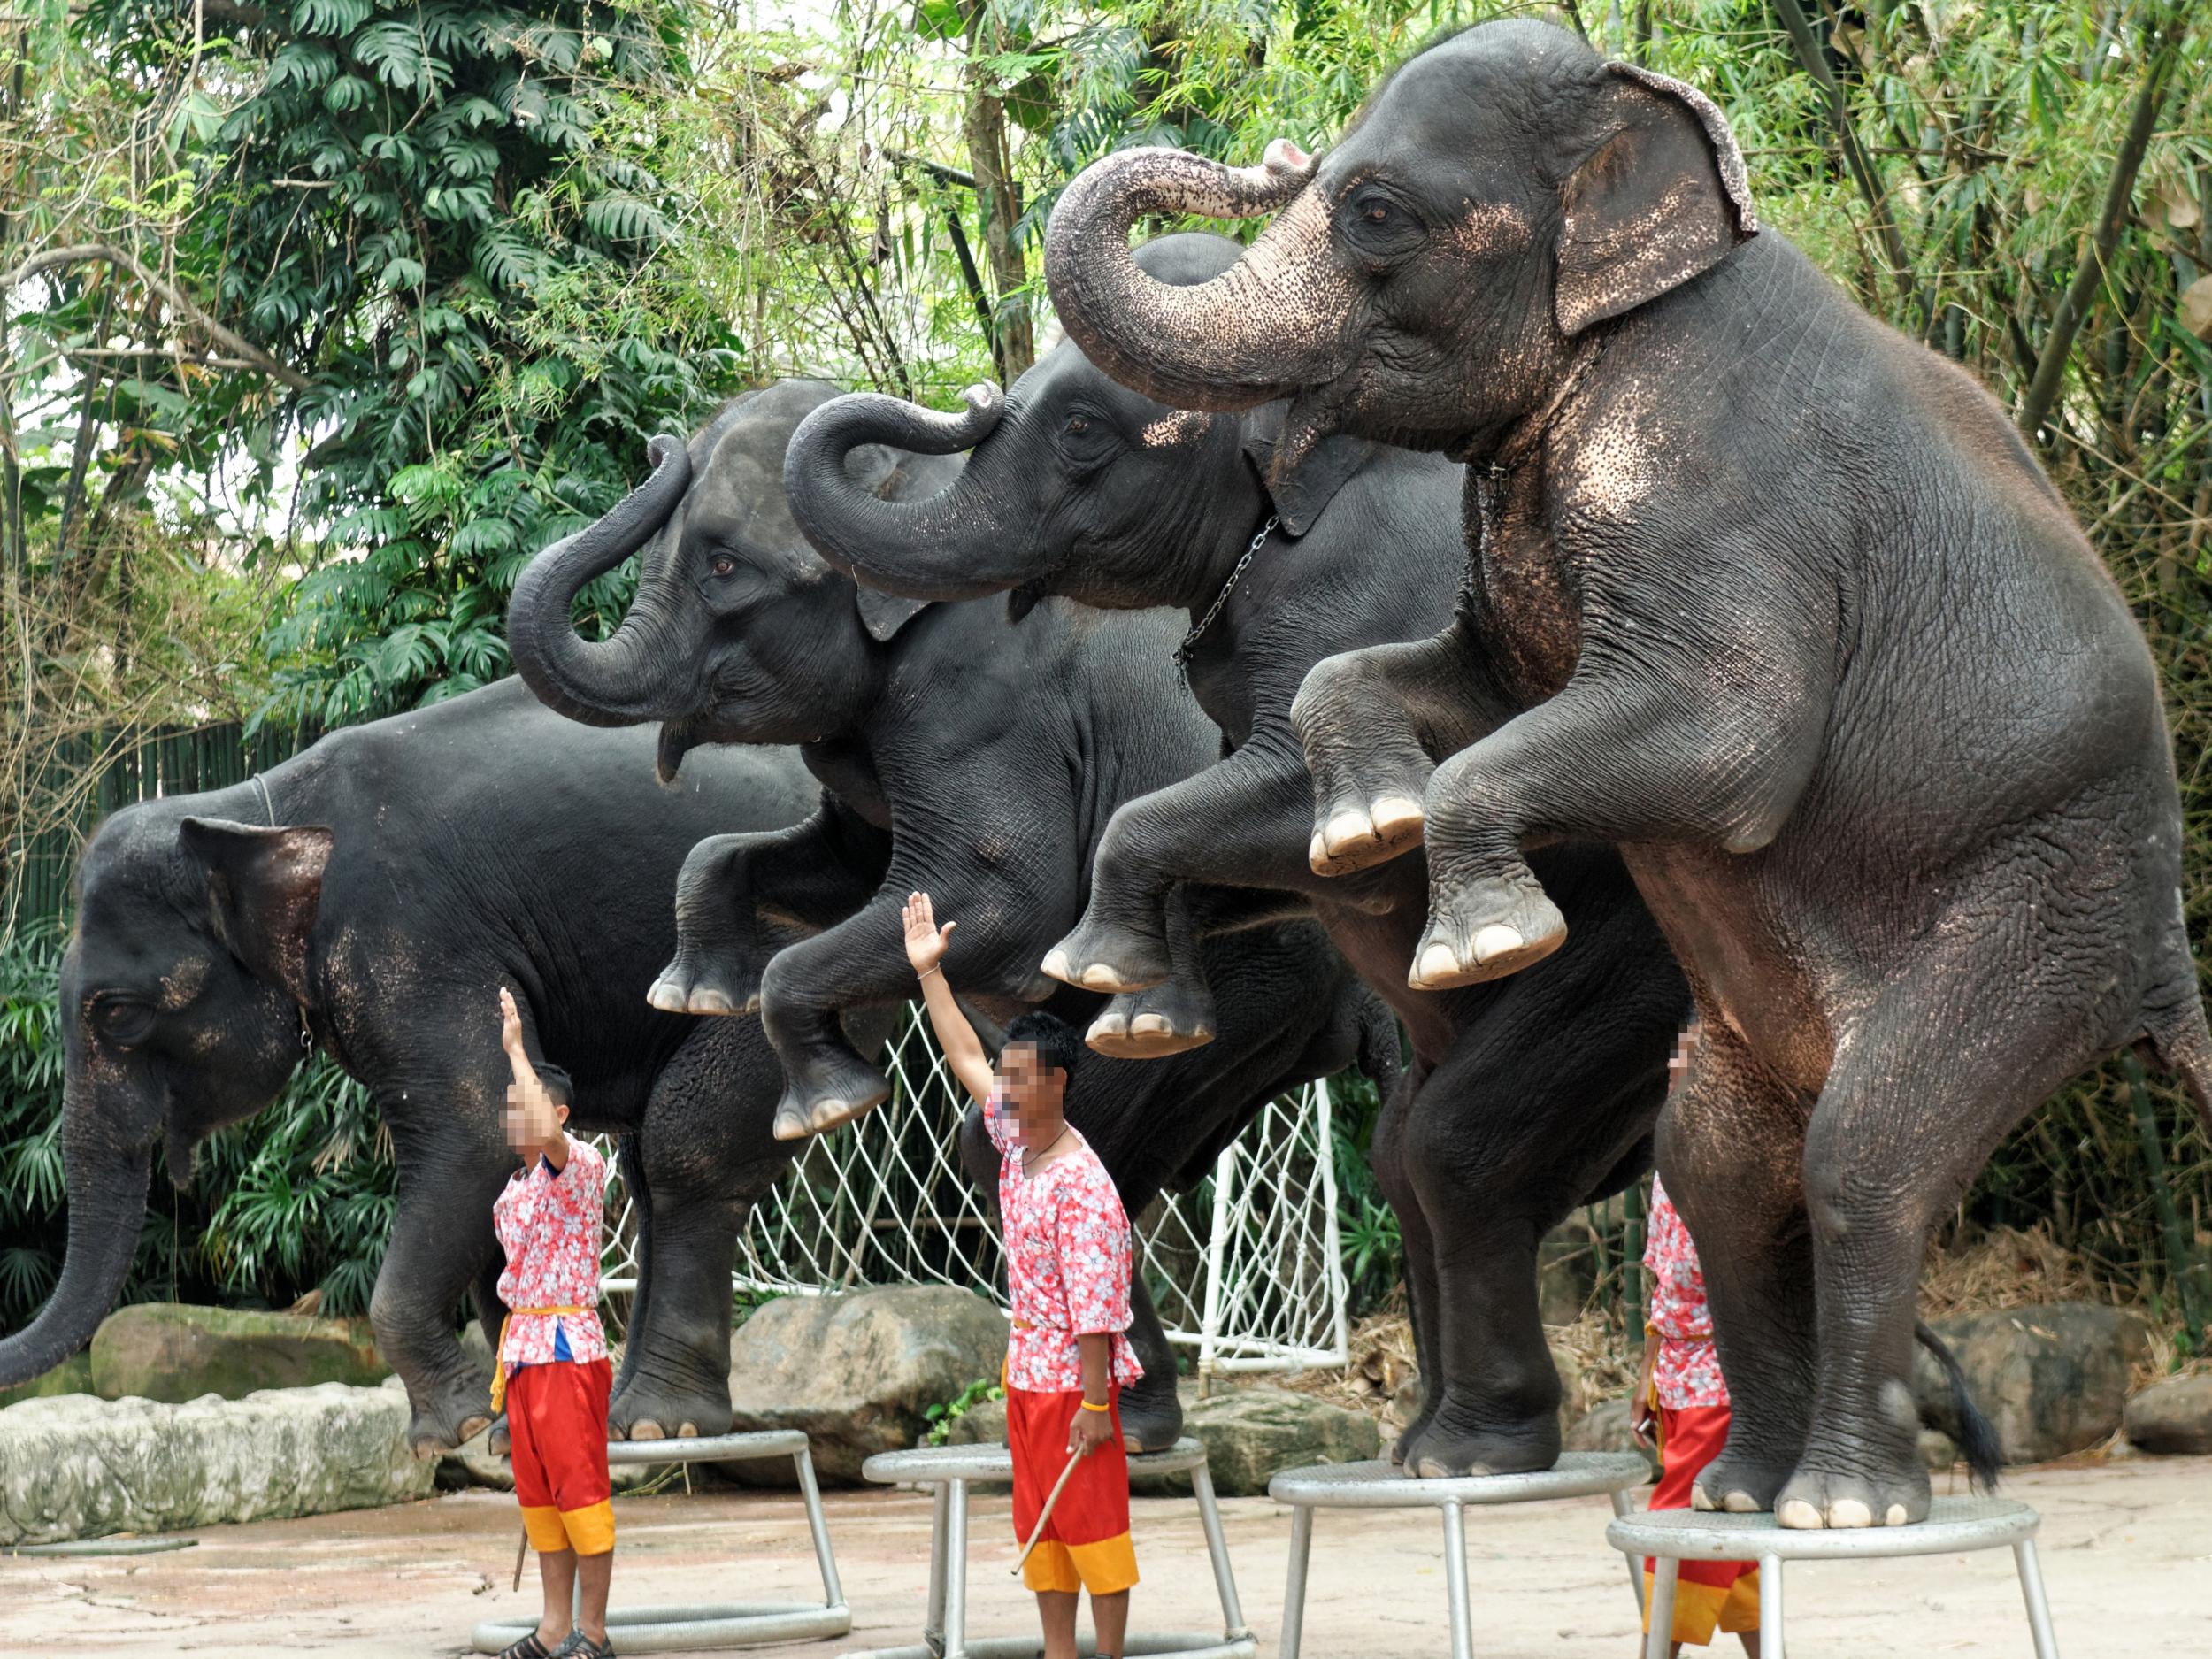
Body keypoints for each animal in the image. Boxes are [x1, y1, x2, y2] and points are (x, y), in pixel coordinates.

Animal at [504, 380, 1398, 1451]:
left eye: (724, 565)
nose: (656, 442)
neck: (925, 491)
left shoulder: (975, 699)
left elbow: (1001, 902)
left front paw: (830, 1102)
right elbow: (830, 866)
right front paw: (694, 993)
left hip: (1261, 971)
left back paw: (1125, 1427)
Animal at [779, 231, 1690, 1478]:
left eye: (1079, 427)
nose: (961, 396)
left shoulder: (1363, 602)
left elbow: (1326, 825)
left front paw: (1106, 977)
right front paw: (1144, 1004)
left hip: (1630, 969)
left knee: (1452, 1149)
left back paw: (1469, 1458)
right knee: (1412, 1157)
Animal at [1040, 22, 2212, 1531]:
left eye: (1376, 210)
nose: (1262, 157)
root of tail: (2166, 956)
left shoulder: (1719, 487)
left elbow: (1727, 740)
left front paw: (1483, 938)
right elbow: (1469, 687)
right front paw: (1366, 828)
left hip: (2047, 907)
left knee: (1868, 1148)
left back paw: (1837, 1511)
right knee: (1720, 1165)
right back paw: (1740, 1497)